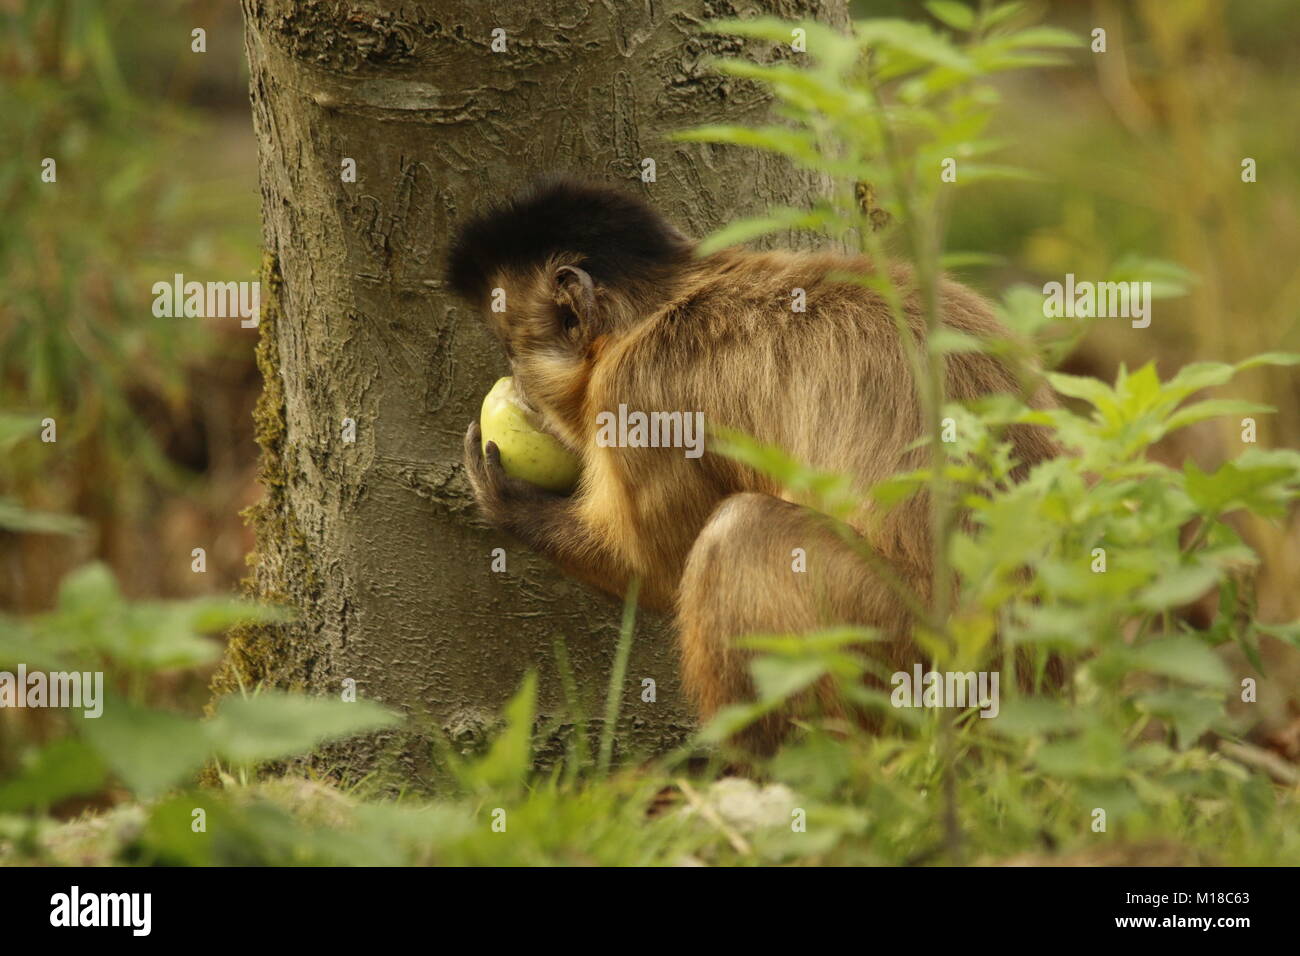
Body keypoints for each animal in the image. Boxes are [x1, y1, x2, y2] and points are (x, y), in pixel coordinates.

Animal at [448, 176, 1059, 752]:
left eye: (512, 352)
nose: (517, 384)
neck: (667, 303)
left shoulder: (635, 390)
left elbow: (655, 568)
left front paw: (510, 503)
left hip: (917, 655)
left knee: (739, 532)